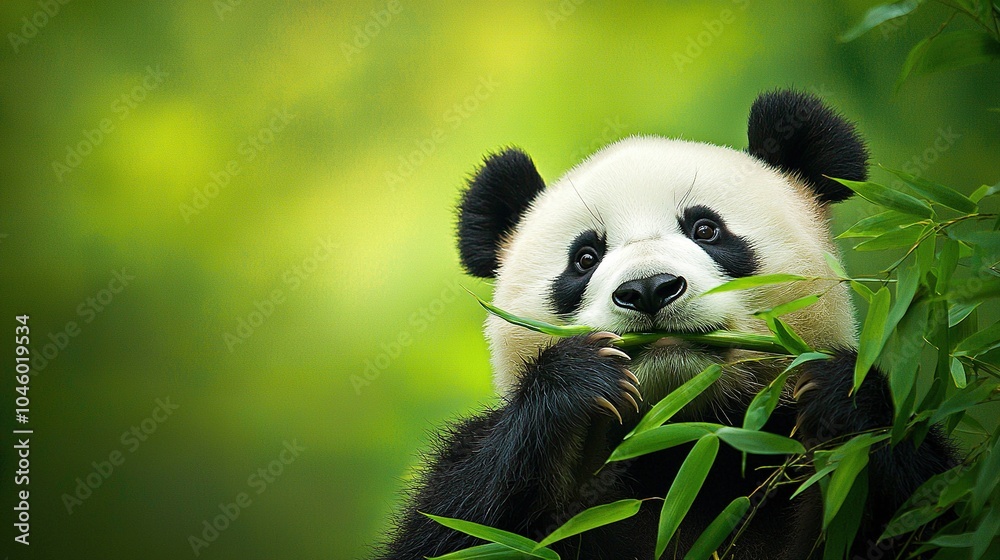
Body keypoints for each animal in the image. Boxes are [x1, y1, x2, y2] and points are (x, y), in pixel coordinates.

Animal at [376, 90, 955, 559]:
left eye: (706, 229)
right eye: (585, 258)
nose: (649, 289)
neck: (686, 439)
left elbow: (917, 506)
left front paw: (840, 396)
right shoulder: (482, 474)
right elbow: (459, 526)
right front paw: (577, 382)